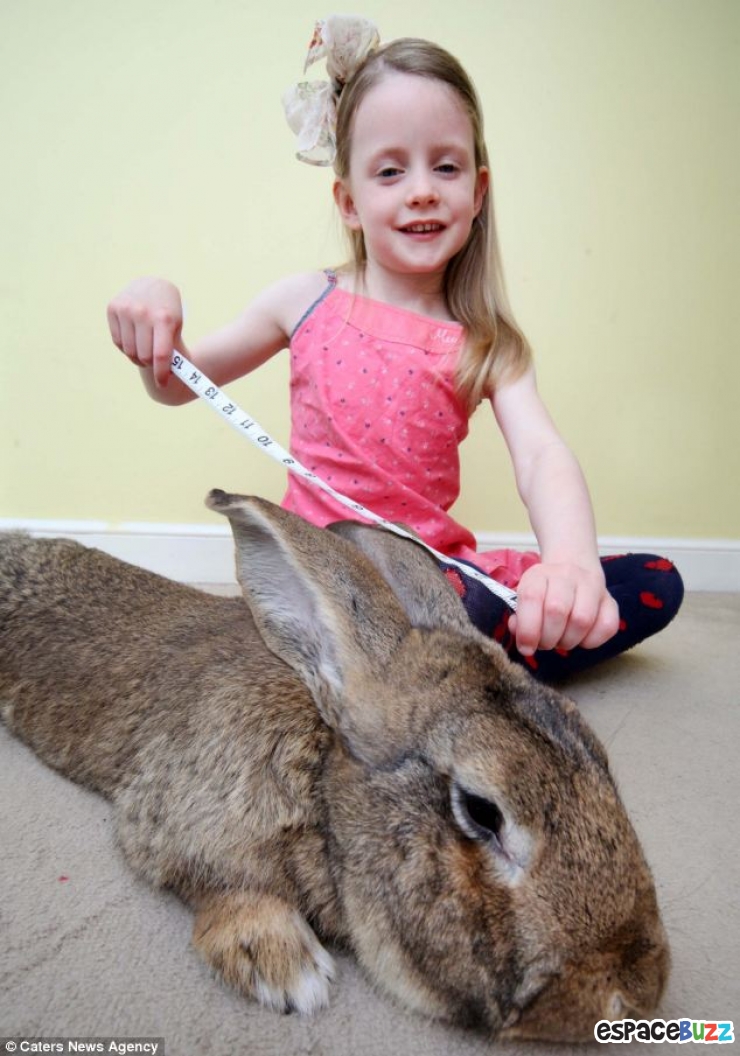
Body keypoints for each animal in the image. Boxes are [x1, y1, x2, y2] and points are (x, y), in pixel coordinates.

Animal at [0, 489, 669, 1042]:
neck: (320, 787)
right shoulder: (174, 822)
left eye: (600, 759)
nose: (636, 993)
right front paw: (285, 968)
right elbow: (223, 887)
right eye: (482, 811)